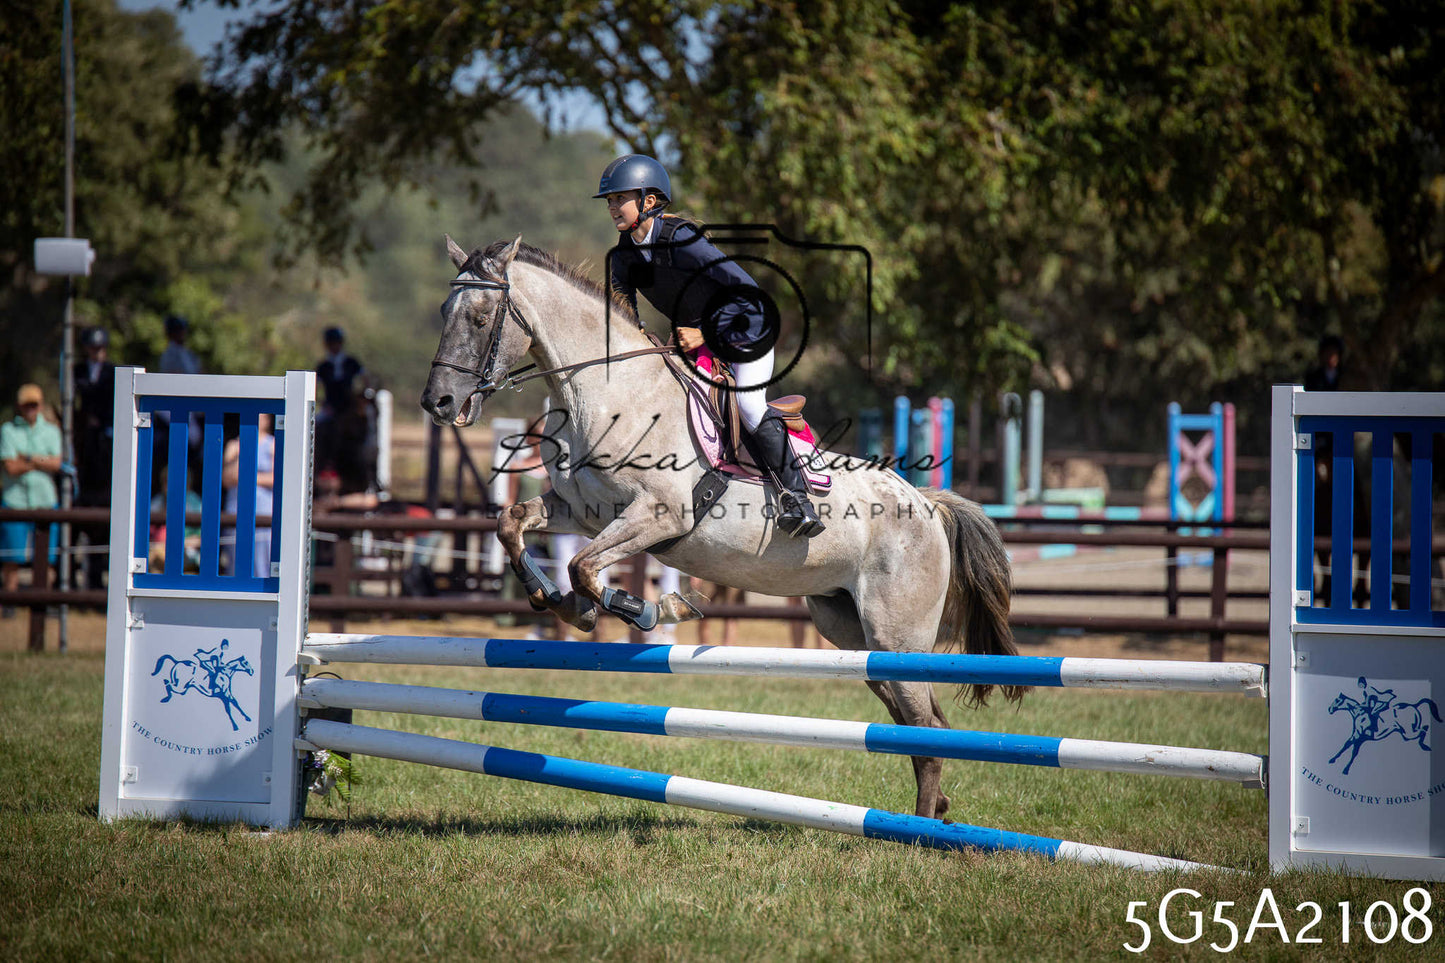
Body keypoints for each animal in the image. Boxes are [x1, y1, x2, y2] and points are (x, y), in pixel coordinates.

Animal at [420, 235, 1021, 819]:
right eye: (443, 311)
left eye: (480, 317)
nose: (438, 402)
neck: (609, 394)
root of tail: (925, 503)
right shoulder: (580, 509)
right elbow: (515, 526)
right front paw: (559, 603)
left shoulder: (658, 514)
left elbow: (583, 565)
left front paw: (648, 610)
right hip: (853, 630)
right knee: (920, 722)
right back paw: (936, 813)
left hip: (897, 633)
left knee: (925, 729)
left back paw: (918, 829)